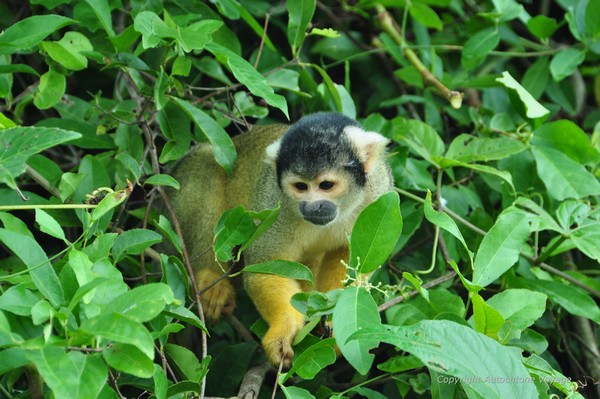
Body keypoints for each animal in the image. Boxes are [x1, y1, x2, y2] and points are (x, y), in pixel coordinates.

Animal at [169, 111, 394, 368]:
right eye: (300, 187)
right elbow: (265, 268)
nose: (312, 206)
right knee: (207, 164)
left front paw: (333, 322)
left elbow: (353, 260)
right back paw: (210, 277)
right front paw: (283, 330)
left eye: (326, 185)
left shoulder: (378, 194)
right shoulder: (274, 203)